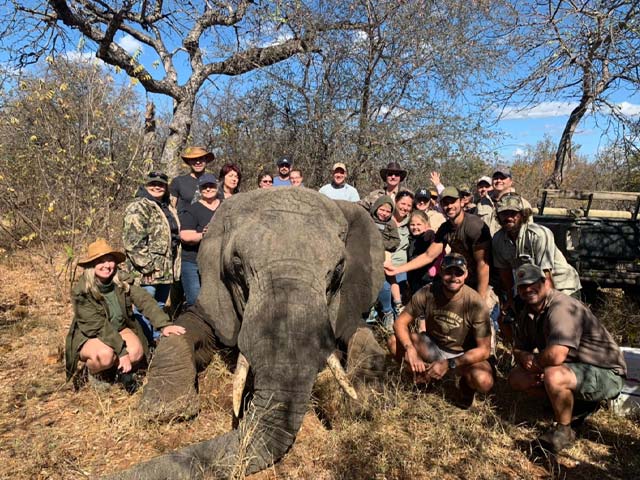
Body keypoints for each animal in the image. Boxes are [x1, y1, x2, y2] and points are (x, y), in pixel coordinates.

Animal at [108, 188, 388, 480]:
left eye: (338, 270)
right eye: (238, 266)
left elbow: (363, 338)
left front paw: (362, 404)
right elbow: (188, 326)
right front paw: (163, 411)